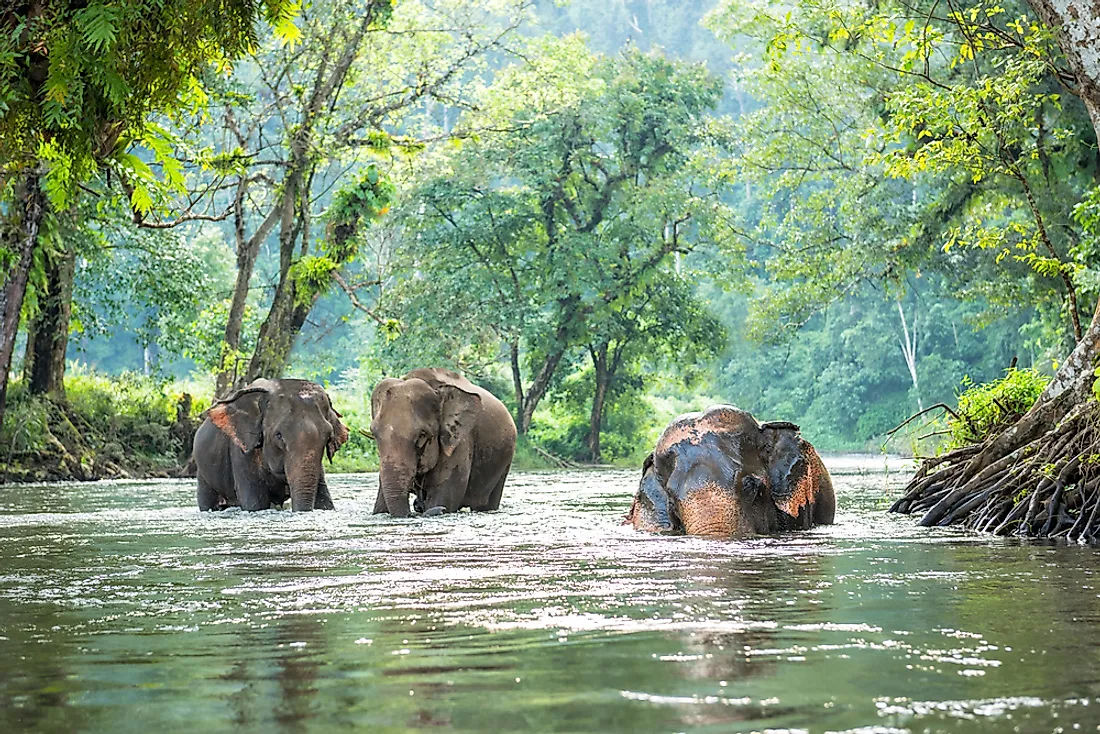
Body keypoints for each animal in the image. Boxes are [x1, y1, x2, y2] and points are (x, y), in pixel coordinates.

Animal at [193, 378, 347, 510]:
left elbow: (325, 501)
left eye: (328, 436)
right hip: (203, 472)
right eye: (278, 435)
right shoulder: (241, 453)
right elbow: (255, 504)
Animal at [371, 367, 517, 517]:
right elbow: (379, 507)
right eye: (374, 434)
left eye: (422, 435)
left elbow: (443, 495)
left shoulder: (460, 441)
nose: (417, 506)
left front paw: (438, 506)